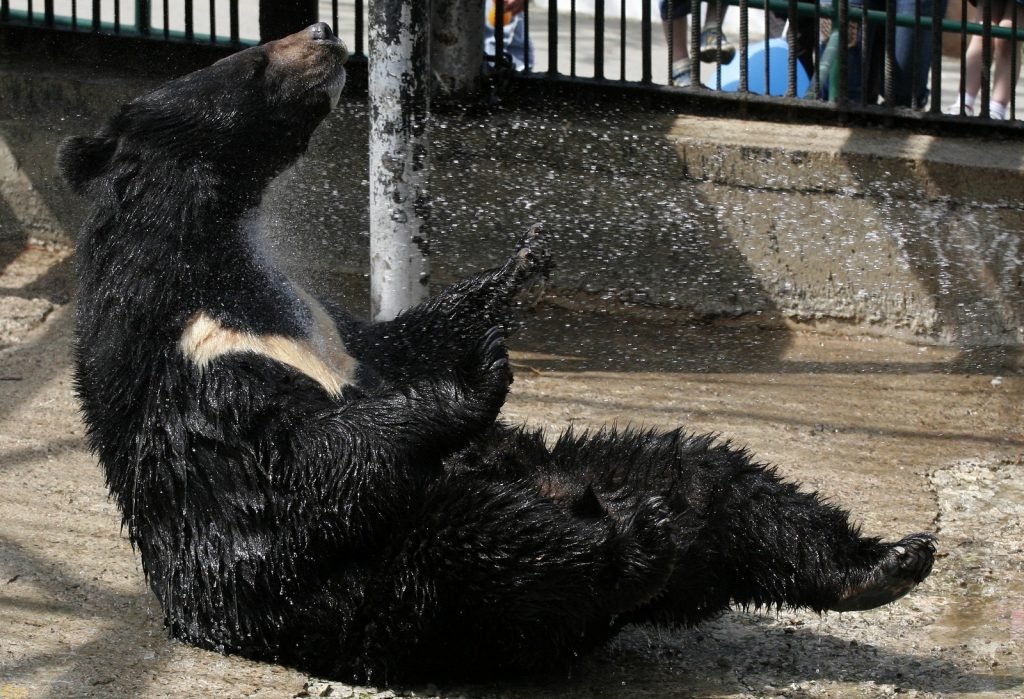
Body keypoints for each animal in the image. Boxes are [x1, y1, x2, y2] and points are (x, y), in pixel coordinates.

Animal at [56, 23, 937, 687]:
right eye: (252, 59)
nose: (326, 30)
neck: (208, 260)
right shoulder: (192, 365)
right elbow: (297, 464)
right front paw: (478, 378)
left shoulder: (317, 316)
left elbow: (401, 339)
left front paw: (523, 266)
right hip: (384, 589)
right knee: (488, 548)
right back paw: (631, 541)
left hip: (597, 476)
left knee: (723, 478)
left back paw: (884, 559)